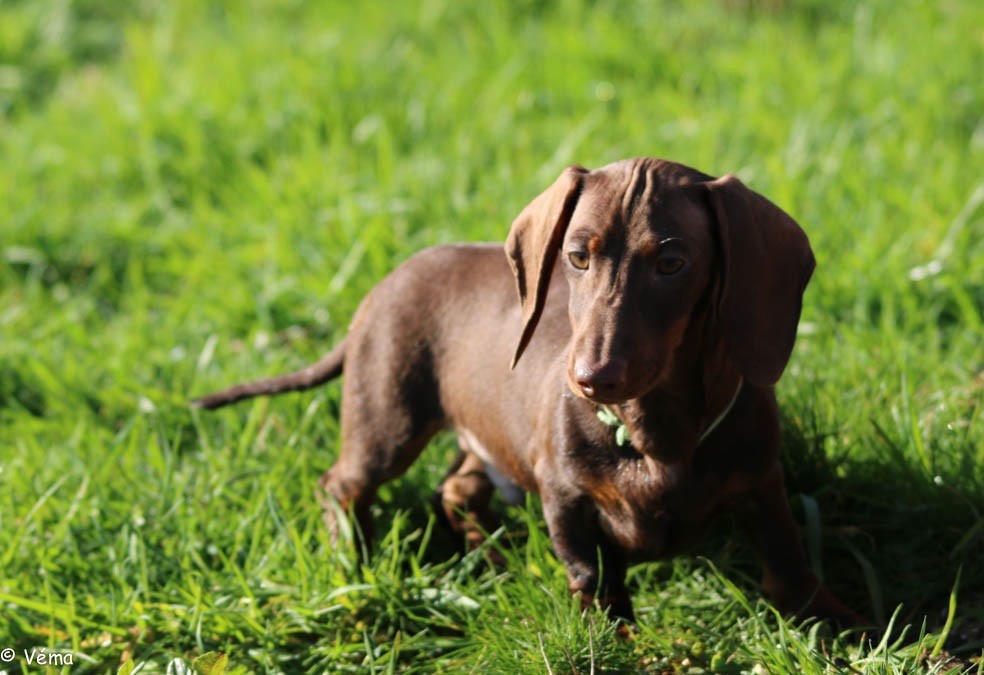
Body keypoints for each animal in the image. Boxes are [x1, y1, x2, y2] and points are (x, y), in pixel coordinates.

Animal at [194, 158, 859, 627]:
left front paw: (842, 625)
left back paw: (491, 559)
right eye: (577, 256)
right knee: (343, 484)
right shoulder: (566, 499)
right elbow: (595, 582)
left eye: (672, 263)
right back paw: (350, 559)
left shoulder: (762, 483)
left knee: (456, 489)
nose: (591, 378)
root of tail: (383, 284)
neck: (648, 431)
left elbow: (789, 565)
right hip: (387, 419)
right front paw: (613, 642)